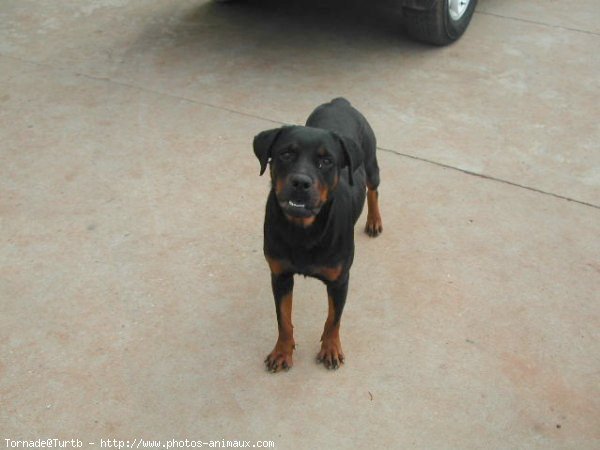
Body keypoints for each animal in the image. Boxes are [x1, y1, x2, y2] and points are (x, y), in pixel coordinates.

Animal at [253, 98, 384, 372]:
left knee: (373, 189)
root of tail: (340, 101)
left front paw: (331, 348)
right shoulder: (280, 275)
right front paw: (282, 351)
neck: (303, 230)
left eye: (326, 161)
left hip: (370, 161)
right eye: (286, 154)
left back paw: (374, 221)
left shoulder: (340, 280)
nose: (301, 182)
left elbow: (333, 319)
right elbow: (283, 319)